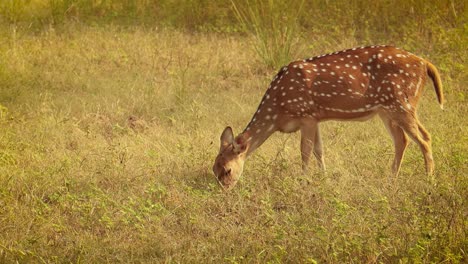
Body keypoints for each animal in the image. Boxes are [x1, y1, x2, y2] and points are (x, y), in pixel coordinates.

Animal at [214, 45, 444, 190]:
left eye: (227, 170)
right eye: (214, 169)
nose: (224, 190)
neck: (278, 110)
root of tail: (425, 63)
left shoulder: (306, 114)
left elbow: (305, 151)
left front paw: (303, 182)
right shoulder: (315, 118)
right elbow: (319, 150)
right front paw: (323, 179)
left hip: (401, 102)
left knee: (425, 138)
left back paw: (429, 180)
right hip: (387, 109)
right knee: (402, 140)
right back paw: (391, 180)